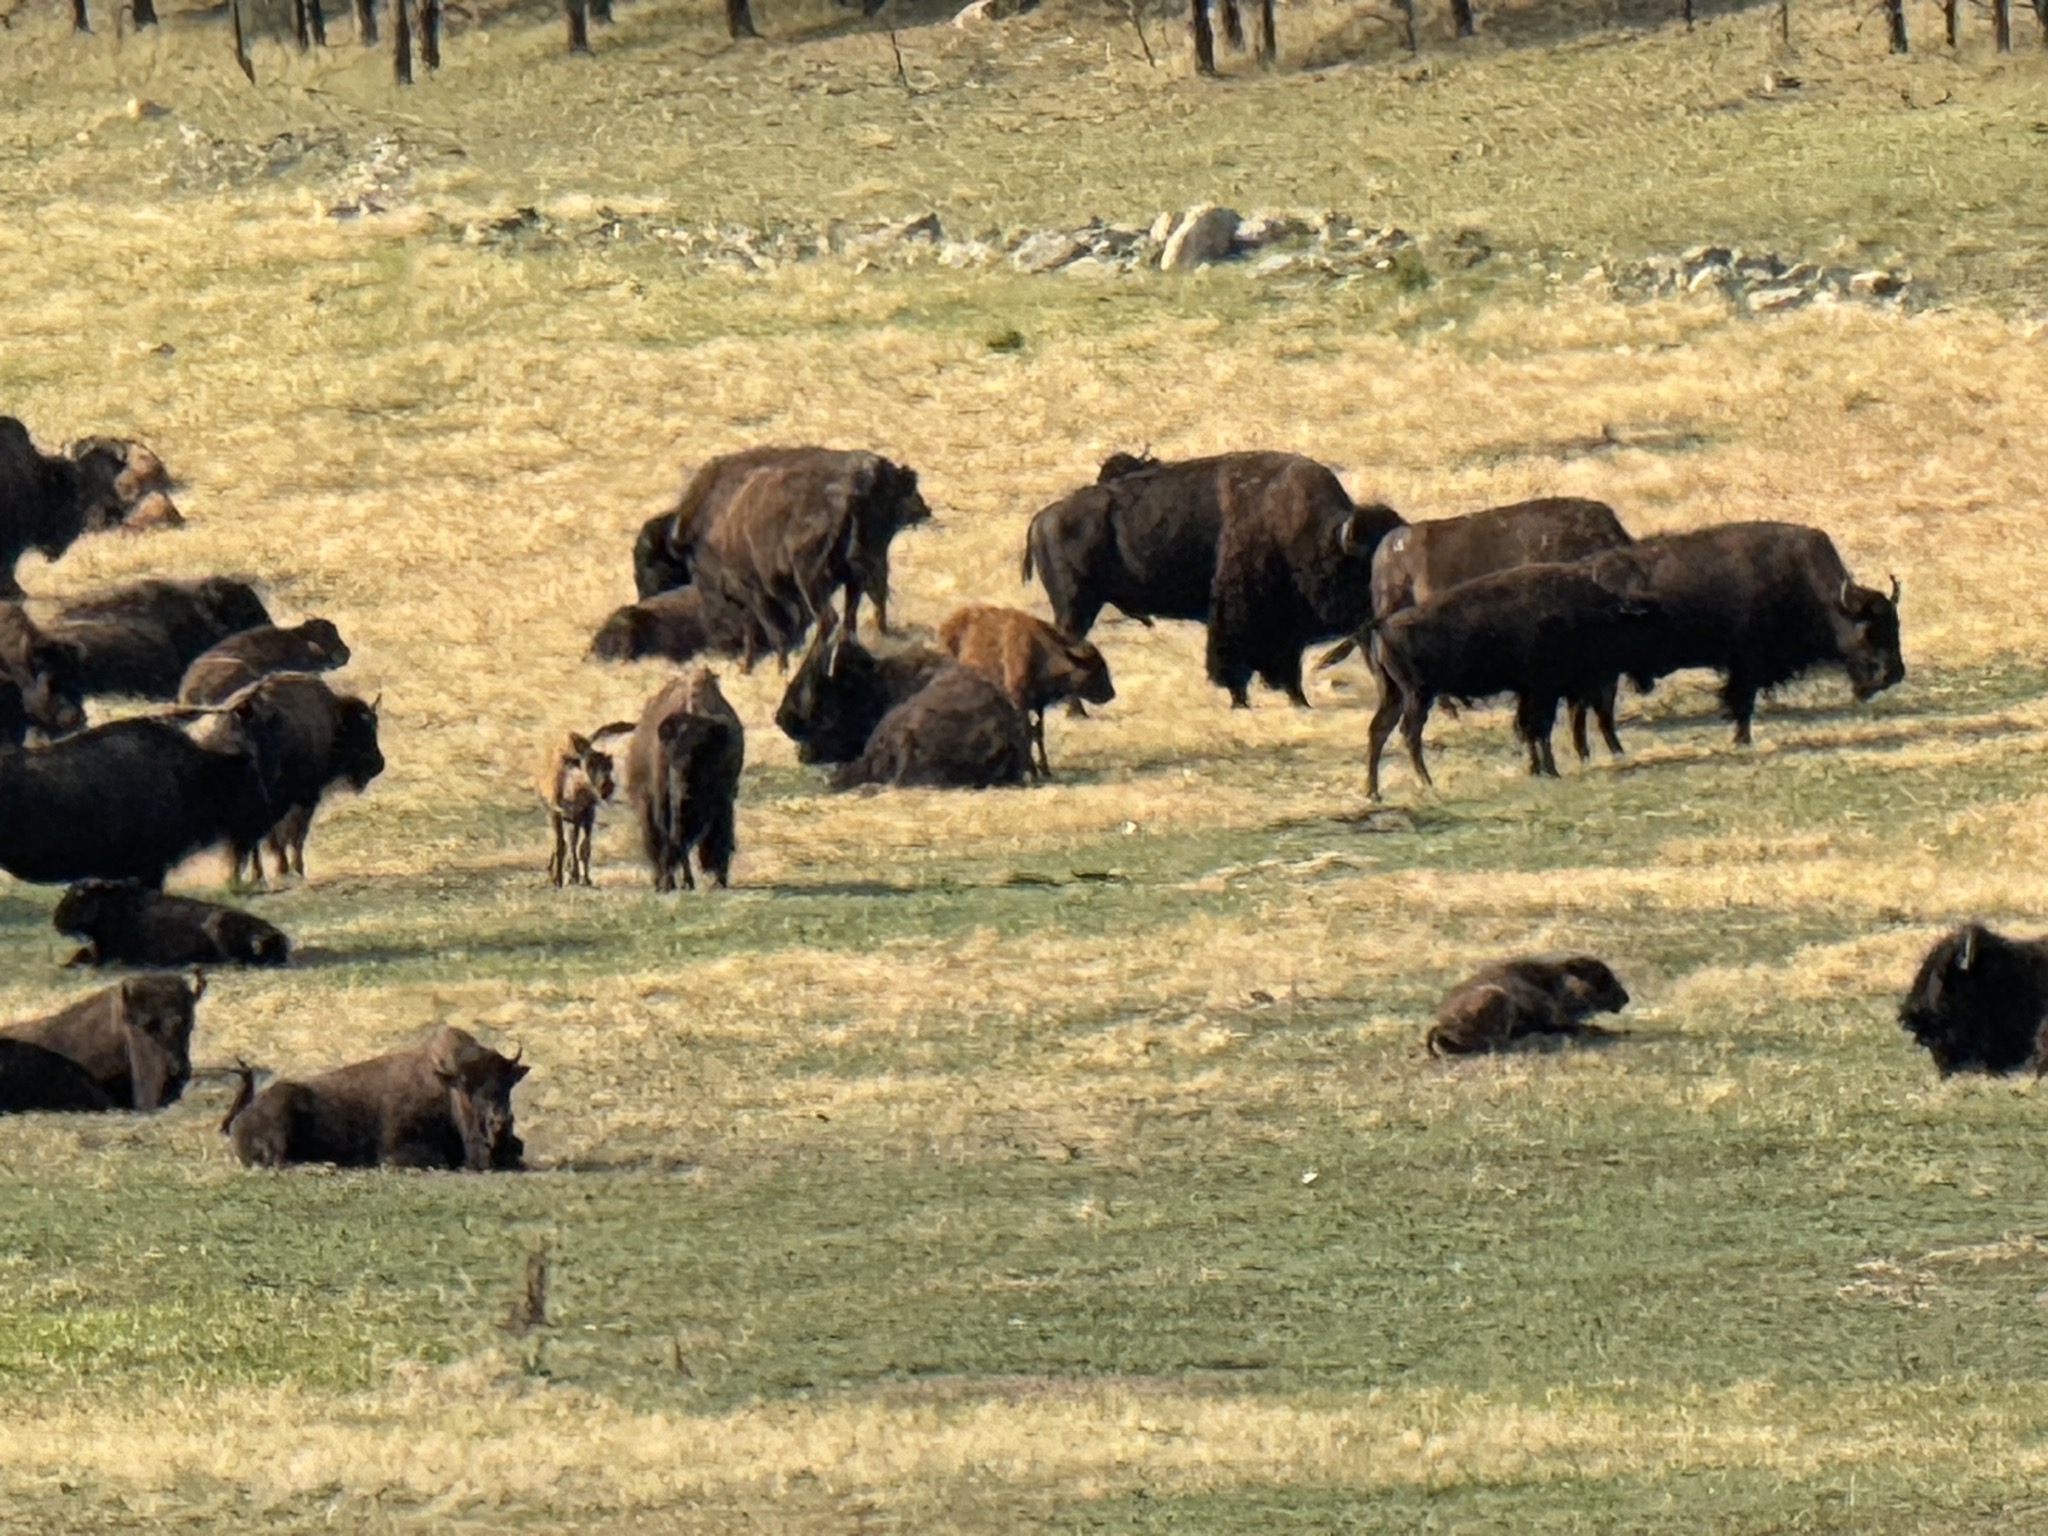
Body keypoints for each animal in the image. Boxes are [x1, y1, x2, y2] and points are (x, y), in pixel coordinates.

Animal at [54, 880, 289, 968]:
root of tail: (278, 935)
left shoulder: (111, 957)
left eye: (80, 898)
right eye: (67, 894)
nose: (57, 921)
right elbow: (79, 954)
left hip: (218, 925)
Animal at [222, 1026, 529, 1170]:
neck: (444, 1087)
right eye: (466, 1087)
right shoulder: (396, 1151)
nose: (500, 1122)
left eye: (508, 1085)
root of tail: (242, 1119)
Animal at [1587, 521, 1903, 744]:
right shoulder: (1747, 663)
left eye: (1896, 626)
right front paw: (1742, 739)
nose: (1892, 675)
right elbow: (1743, 701)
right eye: (1867, 630)